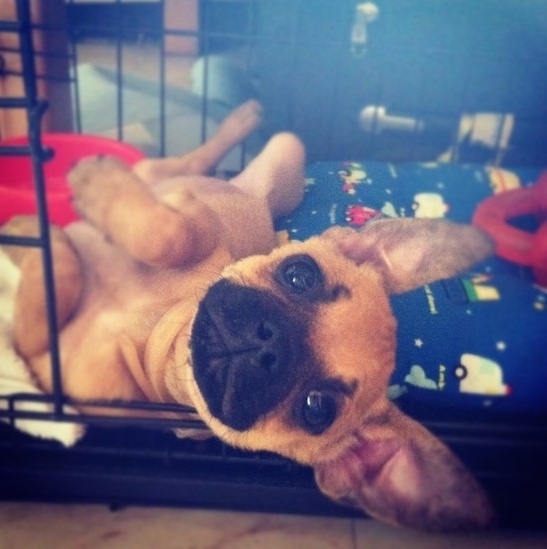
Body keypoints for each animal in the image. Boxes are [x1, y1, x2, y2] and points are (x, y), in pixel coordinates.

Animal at [0, 99, 496, 532]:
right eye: (300, 275)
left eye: (316, 408)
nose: (268, 338)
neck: (152, 332)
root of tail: (253, 194)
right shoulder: (194, 218)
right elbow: (172, 234)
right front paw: (46, 225)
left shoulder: (49, 369)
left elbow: (63, 282)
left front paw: (30, 231)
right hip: (277, 156)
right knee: (174, 166)